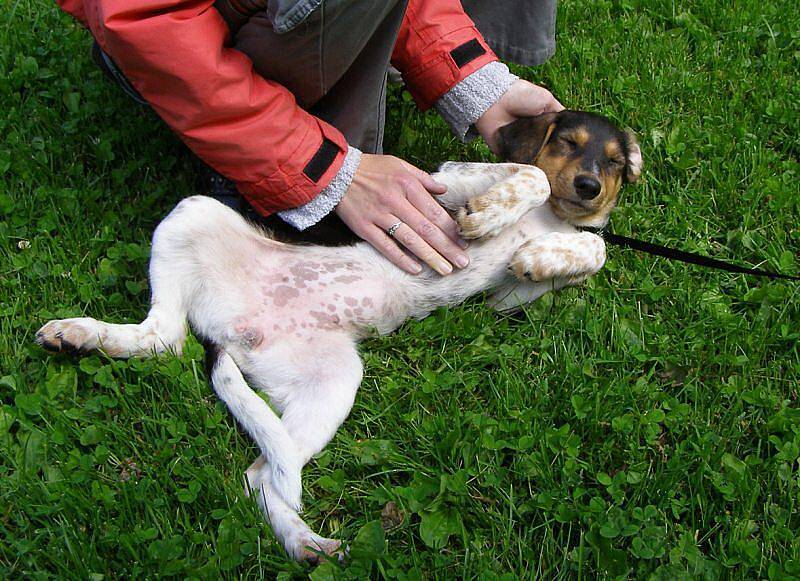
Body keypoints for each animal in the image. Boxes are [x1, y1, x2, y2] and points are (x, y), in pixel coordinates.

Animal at [37, 111, 644, 560]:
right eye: (567, 142)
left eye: (615, 163)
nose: (590, 187)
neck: (553, 219)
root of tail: (235, 331)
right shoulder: (447, 179)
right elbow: (532, 176)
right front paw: (489, 218)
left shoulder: (511, 297)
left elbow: (593, 248)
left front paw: (540, 258)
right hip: (193, 212)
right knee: (167, 341)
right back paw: (78, 332)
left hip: (330, 381)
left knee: (242, 451)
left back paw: (305, 544)